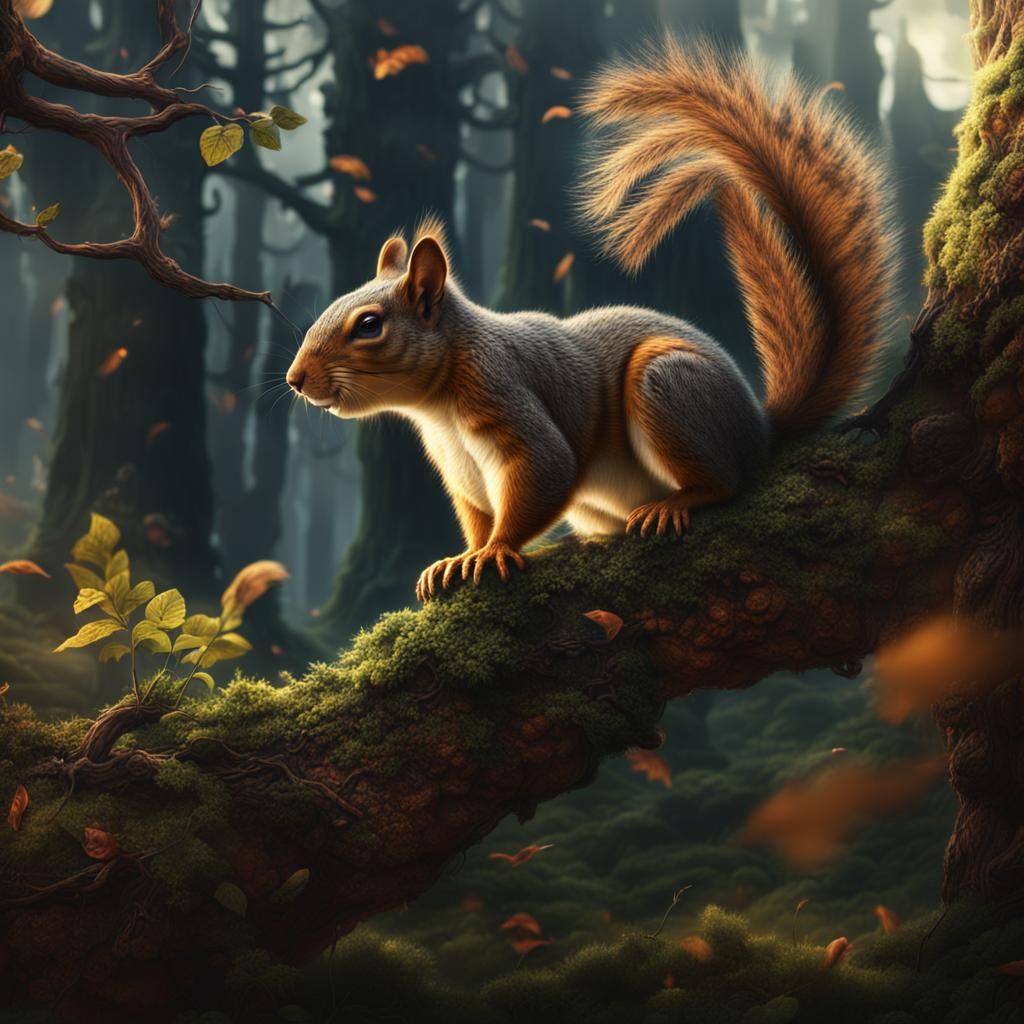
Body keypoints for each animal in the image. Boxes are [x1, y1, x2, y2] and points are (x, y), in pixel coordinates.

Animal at [286, 40, 896, 603]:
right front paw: (456, 558)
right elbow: (478, 516)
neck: (435, 405)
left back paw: (675, 503)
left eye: (369, 325)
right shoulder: (461, 472)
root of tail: (759, 430)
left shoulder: (505, 394)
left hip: (668, 385)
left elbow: (546, 475)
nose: (295, 379)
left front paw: (495, 551)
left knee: (726, 481)